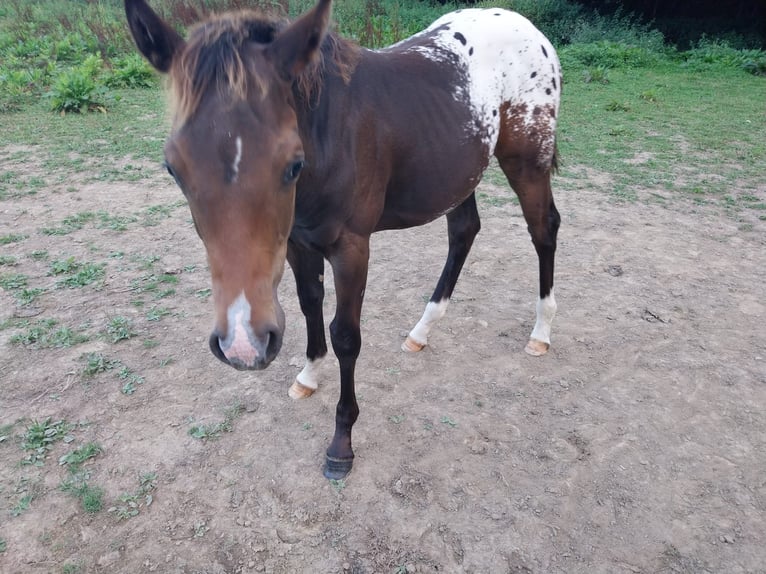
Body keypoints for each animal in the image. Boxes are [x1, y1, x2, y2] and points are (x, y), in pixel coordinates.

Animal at [124, 0, 564, 480]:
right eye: (173, 168)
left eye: (292, 164)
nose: (242, 344)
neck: (330, 130)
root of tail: (525, 25)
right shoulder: (297, 244)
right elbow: (309, 305)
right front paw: (308, 375)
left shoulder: (352, 249)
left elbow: (346, 335)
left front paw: (341, 444)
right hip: (457, 173)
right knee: (464, 230)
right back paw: (422, 330)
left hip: (527, 164)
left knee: (544, 230)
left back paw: (541, 332)